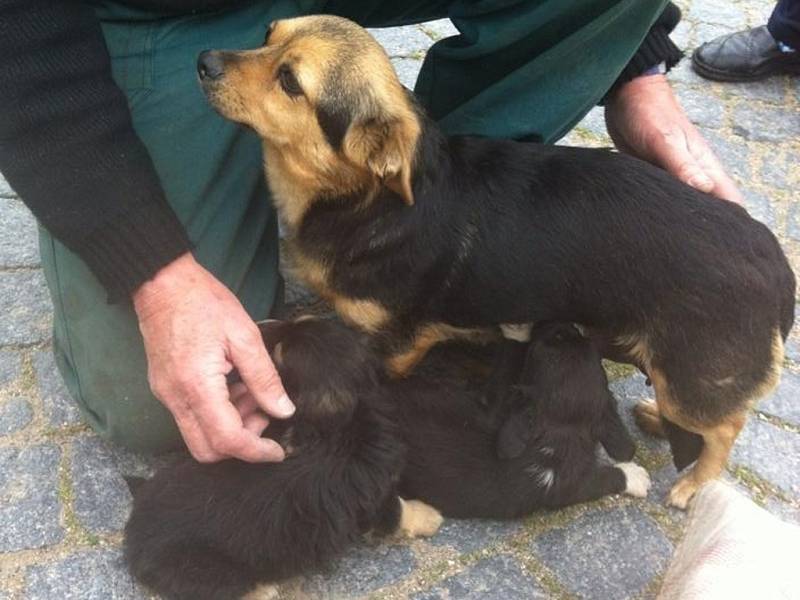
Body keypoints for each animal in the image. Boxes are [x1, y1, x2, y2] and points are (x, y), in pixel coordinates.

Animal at [123, 318, 444, 600]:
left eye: (280, 352)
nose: (256, 326)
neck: (351, 416)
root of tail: (135, 532)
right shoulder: (372, 499)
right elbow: (399, 511)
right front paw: (430, 515)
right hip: (207, 569)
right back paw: (263, 590)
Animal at [396, 322, 648, 516]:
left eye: (543, 344)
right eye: (560, 337)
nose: (567, 325)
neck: (560, 433)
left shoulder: (564, 484)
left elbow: (600, 479)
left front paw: (634, 476)